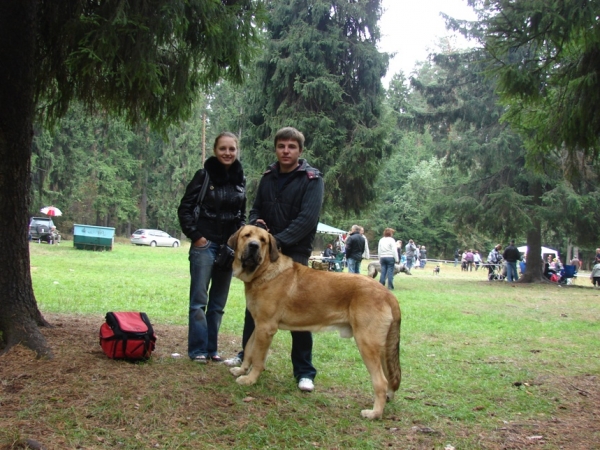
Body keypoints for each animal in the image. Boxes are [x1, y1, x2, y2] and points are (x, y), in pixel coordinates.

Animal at [227, 225, 400, 418]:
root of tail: (387, 293)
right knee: (389, 377)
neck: (264, 270)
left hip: (367, 344)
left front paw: (250, 379)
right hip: (382, 348)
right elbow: (249, 349)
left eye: (263, 240)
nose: (254, 246)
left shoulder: (266, 328)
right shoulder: (258, 325)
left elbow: (257, 358)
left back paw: (374, 413)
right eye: (247, 235)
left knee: (381, 381)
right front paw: (241, 370)